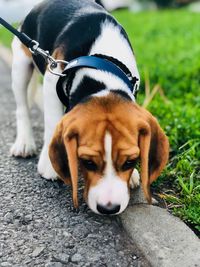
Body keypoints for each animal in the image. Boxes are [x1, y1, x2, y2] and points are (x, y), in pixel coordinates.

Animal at [10, 0, 168, 215]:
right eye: (88, 162)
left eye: (129, 161)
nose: (109, 208)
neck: (102, 69)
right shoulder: (52, 77)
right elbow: (52, 122)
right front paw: (50, 166)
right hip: (21, 63)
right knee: (21, 108)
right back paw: (24, 143)